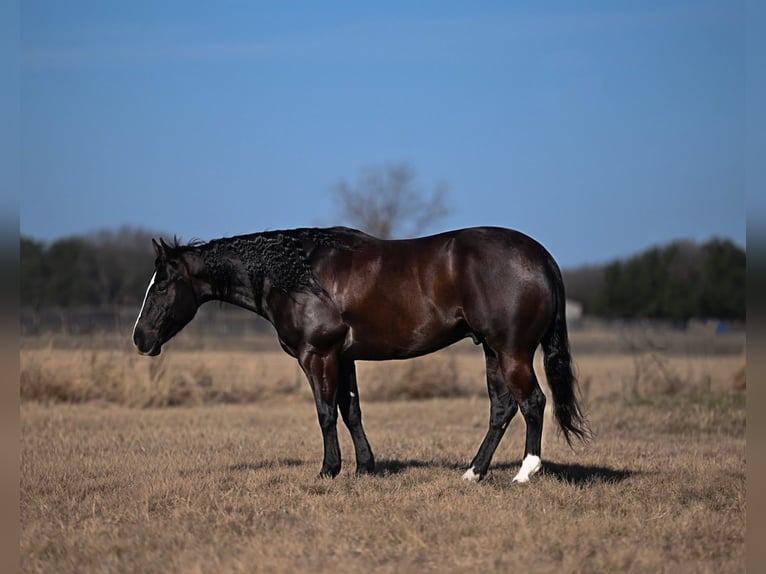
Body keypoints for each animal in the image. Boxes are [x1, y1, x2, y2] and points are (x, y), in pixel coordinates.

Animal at [132, 226, 590, 482]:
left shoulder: (317, 356)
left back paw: (525, 473)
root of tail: (541, 257)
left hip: (512, 352)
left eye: (160, 285)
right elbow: (351, 411)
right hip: (493, 351)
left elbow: (325, 413)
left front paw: (329, 470)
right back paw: (473, 473)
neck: (298, 275)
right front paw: (365, 467)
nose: (139, 338)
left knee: (533, 402)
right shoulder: (344, 357)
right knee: (502, 408)